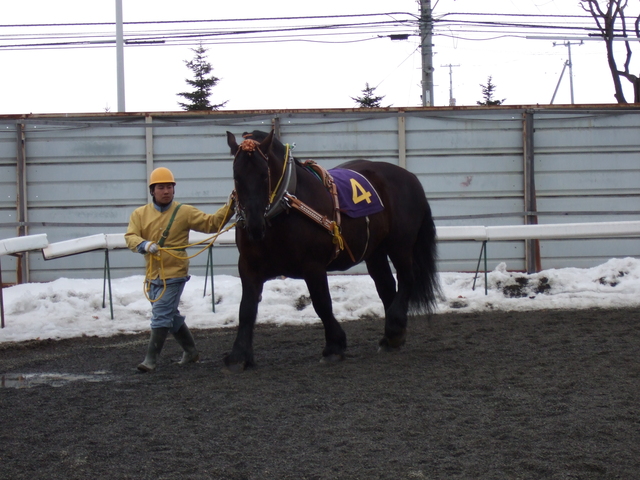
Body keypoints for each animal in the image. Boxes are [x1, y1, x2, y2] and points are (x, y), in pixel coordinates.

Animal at [225, 129, 439, 371]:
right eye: (237, 175)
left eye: (264, 174)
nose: (253, 226)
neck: (285, 208)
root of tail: (410, 177)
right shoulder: (249, 267)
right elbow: (246, 309)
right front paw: (239, 355)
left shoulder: (313, 266)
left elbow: (322, 303)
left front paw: (334, 346)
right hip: (375, 250)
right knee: (386, 285)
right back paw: (393, 335)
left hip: (400, 244)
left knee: (407, 278)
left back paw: (394, 329)